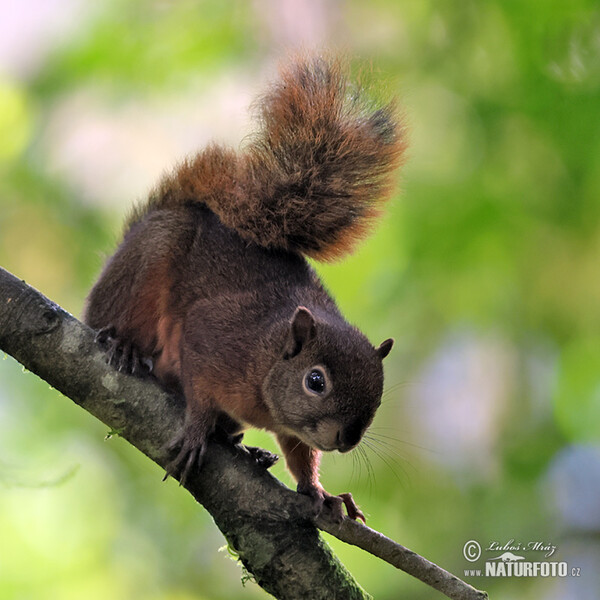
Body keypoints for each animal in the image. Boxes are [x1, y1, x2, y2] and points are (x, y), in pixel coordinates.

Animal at [84, 57, 406, 524]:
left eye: (378, 393)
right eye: (315, 381)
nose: (346, 437)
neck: (268, 357)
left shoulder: (293, 430)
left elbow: (300, 455)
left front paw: (319, 491)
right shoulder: (213, 338)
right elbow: (200, 390)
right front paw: (198, 430)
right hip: (145, 269)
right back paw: (126, 346)